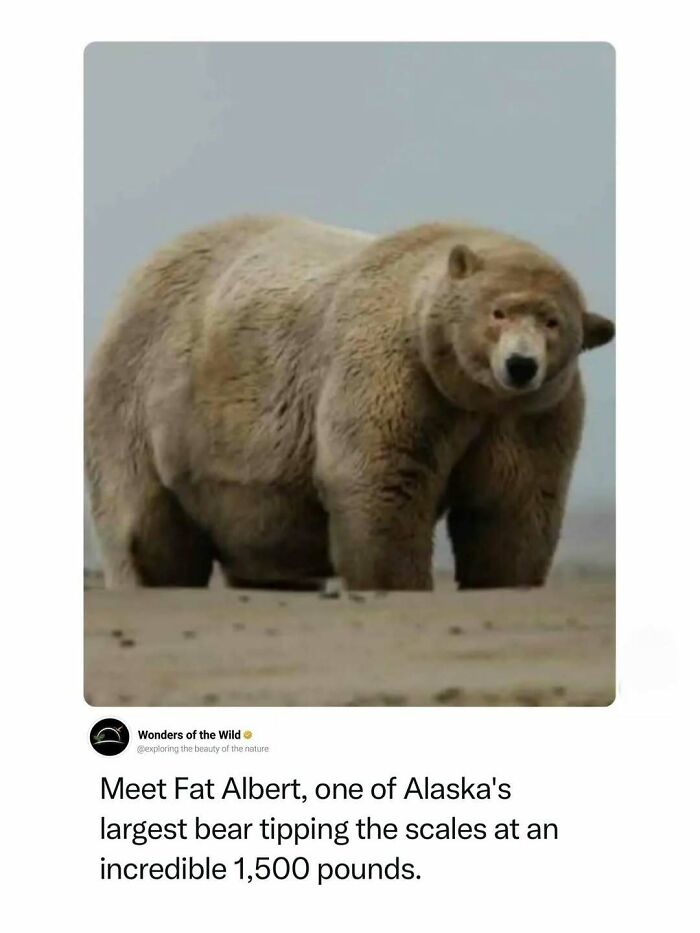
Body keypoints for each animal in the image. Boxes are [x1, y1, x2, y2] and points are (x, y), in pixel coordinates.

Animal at [85, 215, 614, 591]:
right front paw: (399, 582)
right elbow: (380, 483)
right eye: (498, 312)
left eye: (552, 321)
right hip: (141, 394)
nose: (521, 365)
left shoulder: (529, 415)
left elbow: (515, 503)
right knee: (143, 527)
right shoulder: (393, 369)